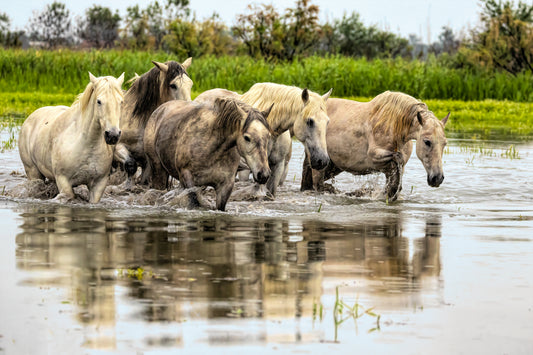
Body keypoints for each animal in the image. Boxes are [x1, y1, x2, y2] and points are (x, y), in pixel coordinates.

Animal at [18, 72, 124, 203]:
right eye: (99, 101)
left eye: (121, 102)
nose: (113, 135)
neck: (87, 145)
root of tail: (30, 117)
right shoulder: (63, 180)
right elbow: (70, 195)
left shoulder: (99, 185)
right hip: (33, 172)